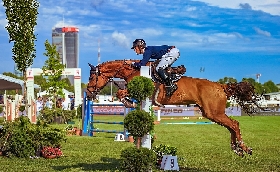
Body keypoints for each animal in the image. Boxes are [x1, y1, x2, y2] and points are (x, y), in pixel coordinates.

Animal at [86, 59, 262, 156]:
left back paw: (244, 148)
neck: (131, 72)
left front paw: (128, 102)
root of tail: (221, 86)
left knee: (234, 124)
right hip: (210, 113)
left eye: (92, 77)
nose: (88, 93)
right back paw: (237, 149)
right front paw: (129, 102)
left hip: (214, 112)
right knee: (231, 126)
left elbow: (121, 92)